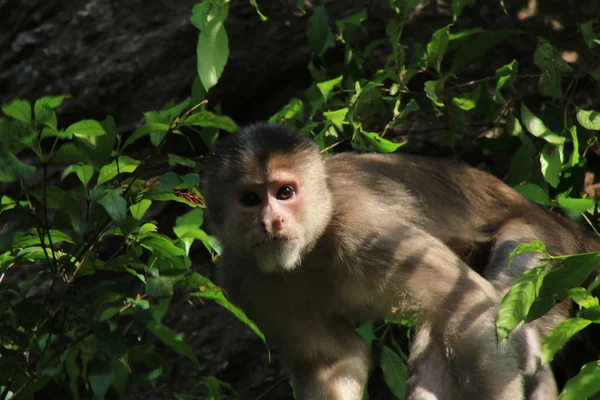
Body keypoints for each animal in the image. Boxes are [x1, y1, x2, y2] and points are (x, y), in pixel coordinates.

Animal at [202, 123, 600, 398]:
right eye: (251, 199)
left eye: (285, 192)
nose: (272, 222)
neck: (313, 245)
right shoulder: (241, 279)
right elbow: (334, 361)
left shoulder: (364, 228)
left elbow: (466, 303)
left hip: (550, 252)